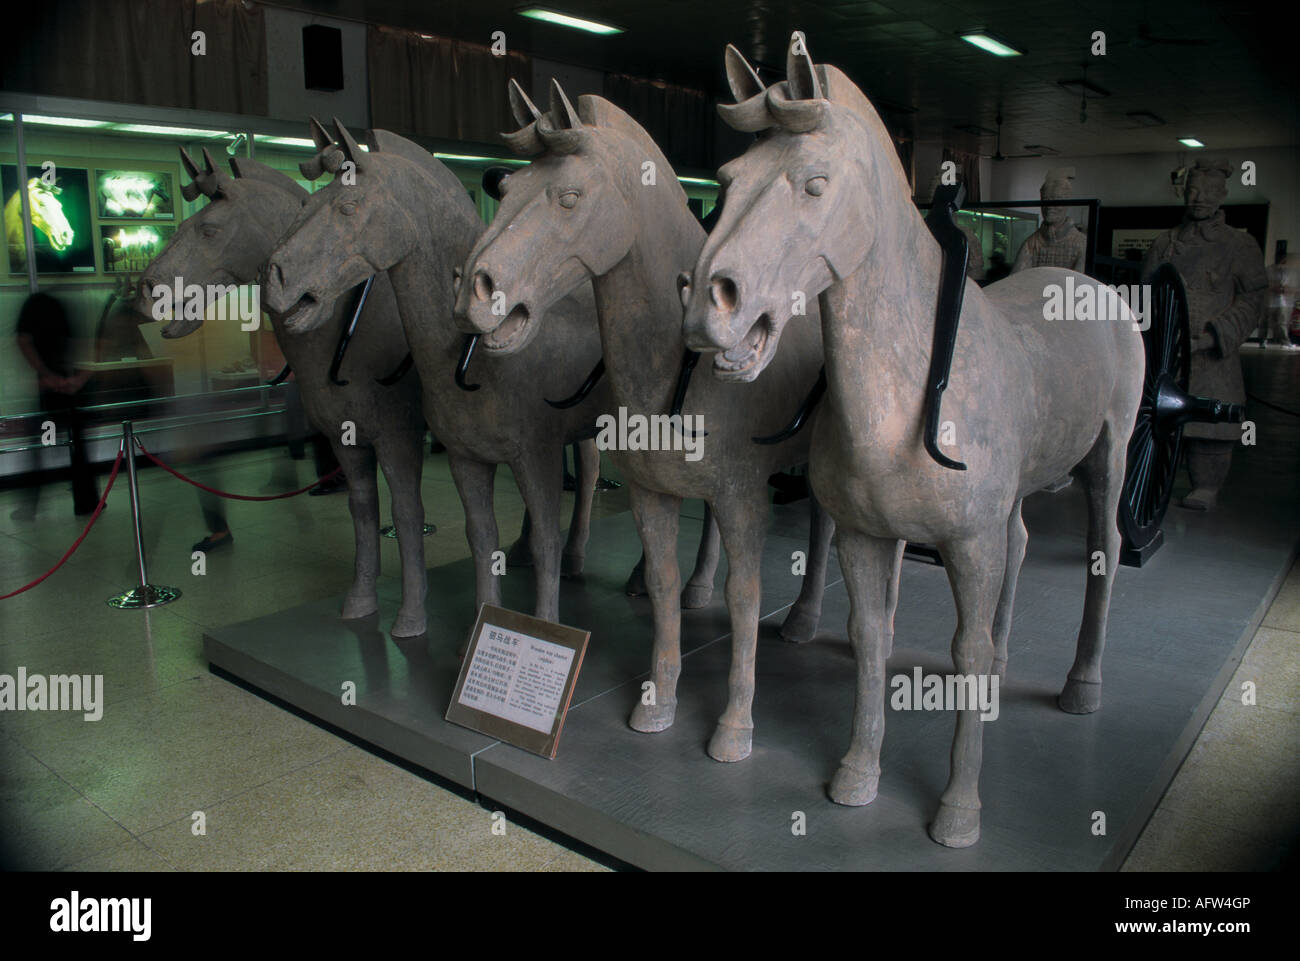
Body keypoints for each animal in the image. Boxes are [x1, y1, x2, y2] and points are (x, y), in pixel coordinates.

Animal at [139, 144, 428, 639]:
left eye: (209, 230)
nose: (145, 287)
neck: (350, 328)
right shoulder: (347, 441)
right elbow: (363, 509)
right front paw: (361, 599)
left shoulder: (398, 438)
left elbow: (407, 512)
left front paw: (412, 616)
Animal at [263, 120, 613, 626]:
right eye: (307, 205)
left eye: (349, 206)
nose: (275, 276)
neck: (473, 353)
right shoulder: (465, 457)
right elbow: (481, 538)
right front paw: (483, 619)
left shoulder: (535, 453)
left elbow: (546, 536)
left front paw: (545, 626)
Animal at [454, 78, 832, 764]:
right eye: (508, 190)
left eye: (569, 197)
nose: (476, 289)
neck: (683, 360)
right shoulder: (651, 493)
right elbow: (660, 582)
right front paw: (659, 700)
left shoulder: (743, 497)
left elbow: (746, 598)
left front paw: (734, 726)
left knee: (824, 528)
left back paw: (804, 620)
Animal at [686, 41, 1144, 847]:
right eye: (731, 178)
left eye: (814, 184)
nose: (713, 305)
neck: (908, 389)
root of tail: (1097, 287)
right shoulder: (866, 538)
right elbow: (871, 638)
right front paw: (857, 774)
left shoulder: (967, 543)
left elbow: (964, 650)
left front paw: (959, 810)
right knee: (1022, 541)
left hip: (1109, 456)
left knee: (1106, 547)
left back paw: (1081, 684)